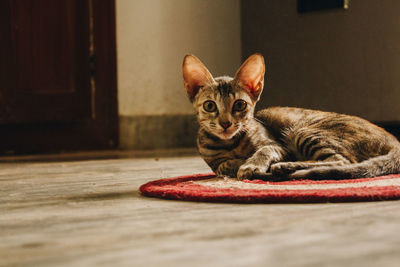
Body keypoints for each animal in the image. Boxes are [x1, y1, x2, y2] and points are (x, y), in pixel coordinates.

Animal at [181, 53, 400, 181]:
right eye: (210, 105)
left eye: (239, 105)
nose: (226, 123)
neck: (230, 144)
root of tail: (394, 140)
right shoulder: (215, 163)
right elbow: (223, 165)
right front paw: (239, 163)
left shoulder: (278, 146)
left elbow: (262, 151)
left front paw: (250, 164)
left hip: (304, 131)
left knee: (343, 161)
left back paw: (286, 167)